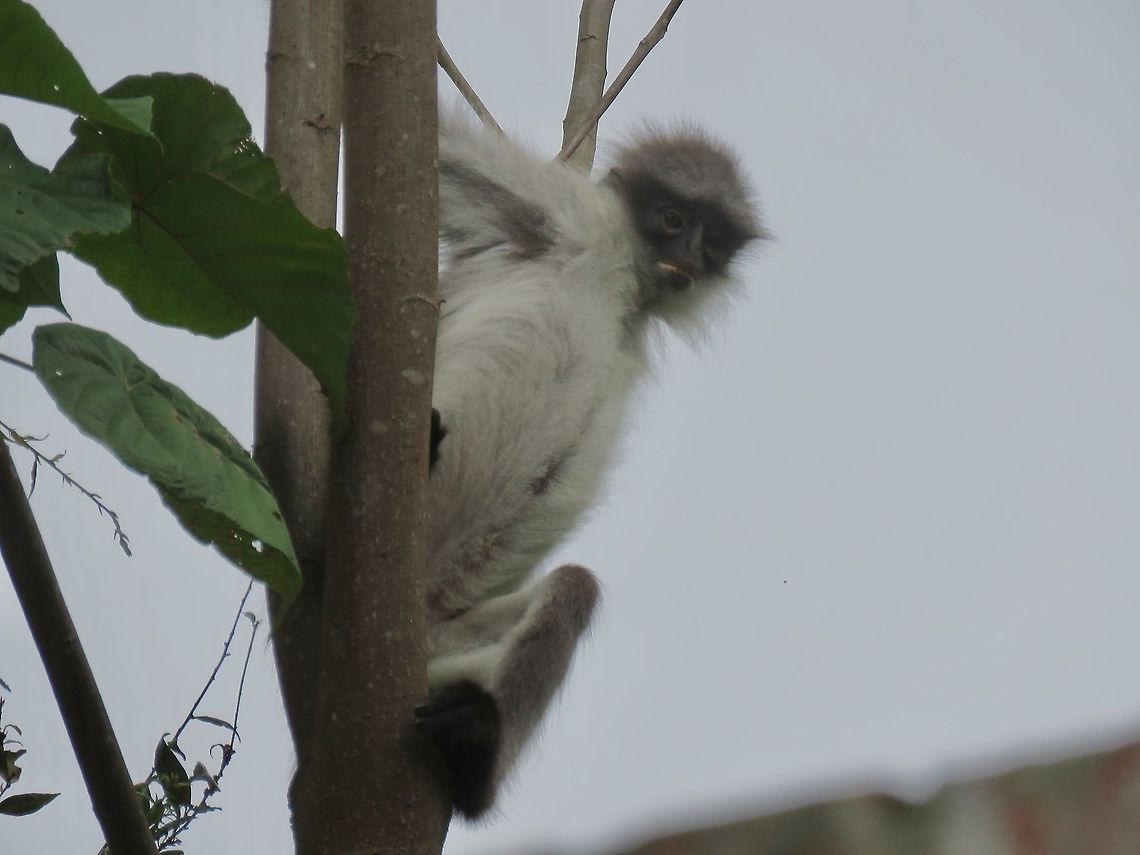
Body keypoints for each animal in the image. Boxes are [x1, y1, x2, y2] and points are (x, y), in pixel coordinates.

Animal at [416, 108, 765, 819]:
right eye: (672, 219)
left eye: (715, 239)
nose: (693, 254)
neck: (625, 289)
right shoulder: (558, 215)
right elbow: (440, 145)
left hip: (445, 643)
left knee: (572, 591)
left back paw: (475, 749)